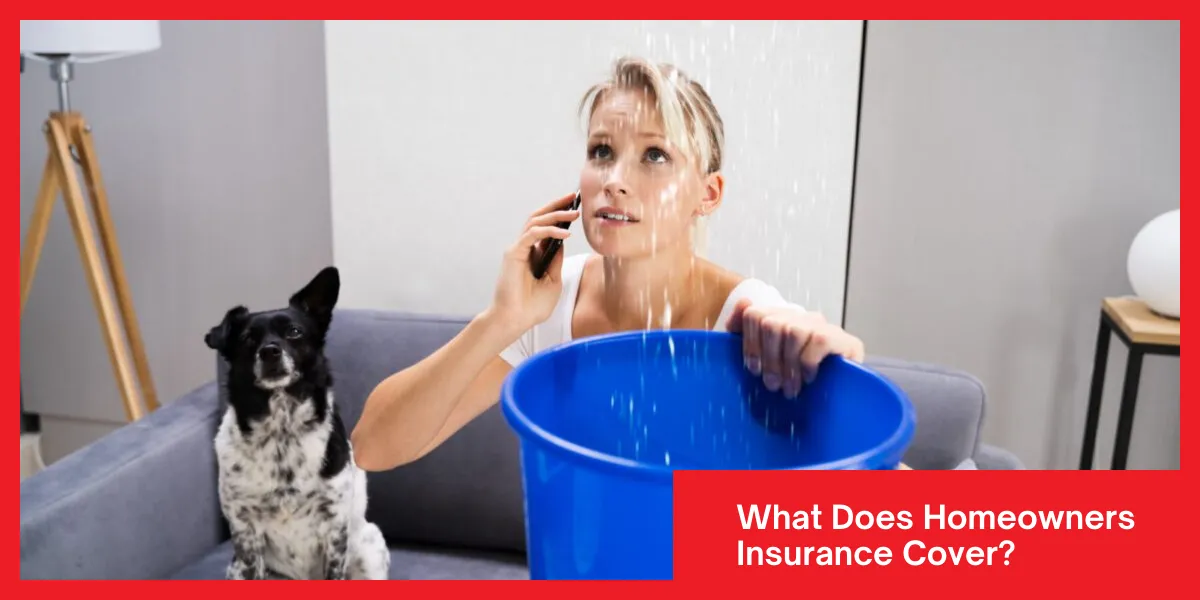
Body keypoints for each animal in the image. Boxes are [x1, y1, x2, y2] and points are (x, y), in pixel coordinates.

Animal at [204, 268, 386, 580]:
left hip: (368, 546)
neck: (282, 432)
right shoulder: (244, 529)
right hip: (235, 568)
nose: (269, 351)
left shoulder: (334, 525)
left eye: (294, 332)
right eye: (247, 338)